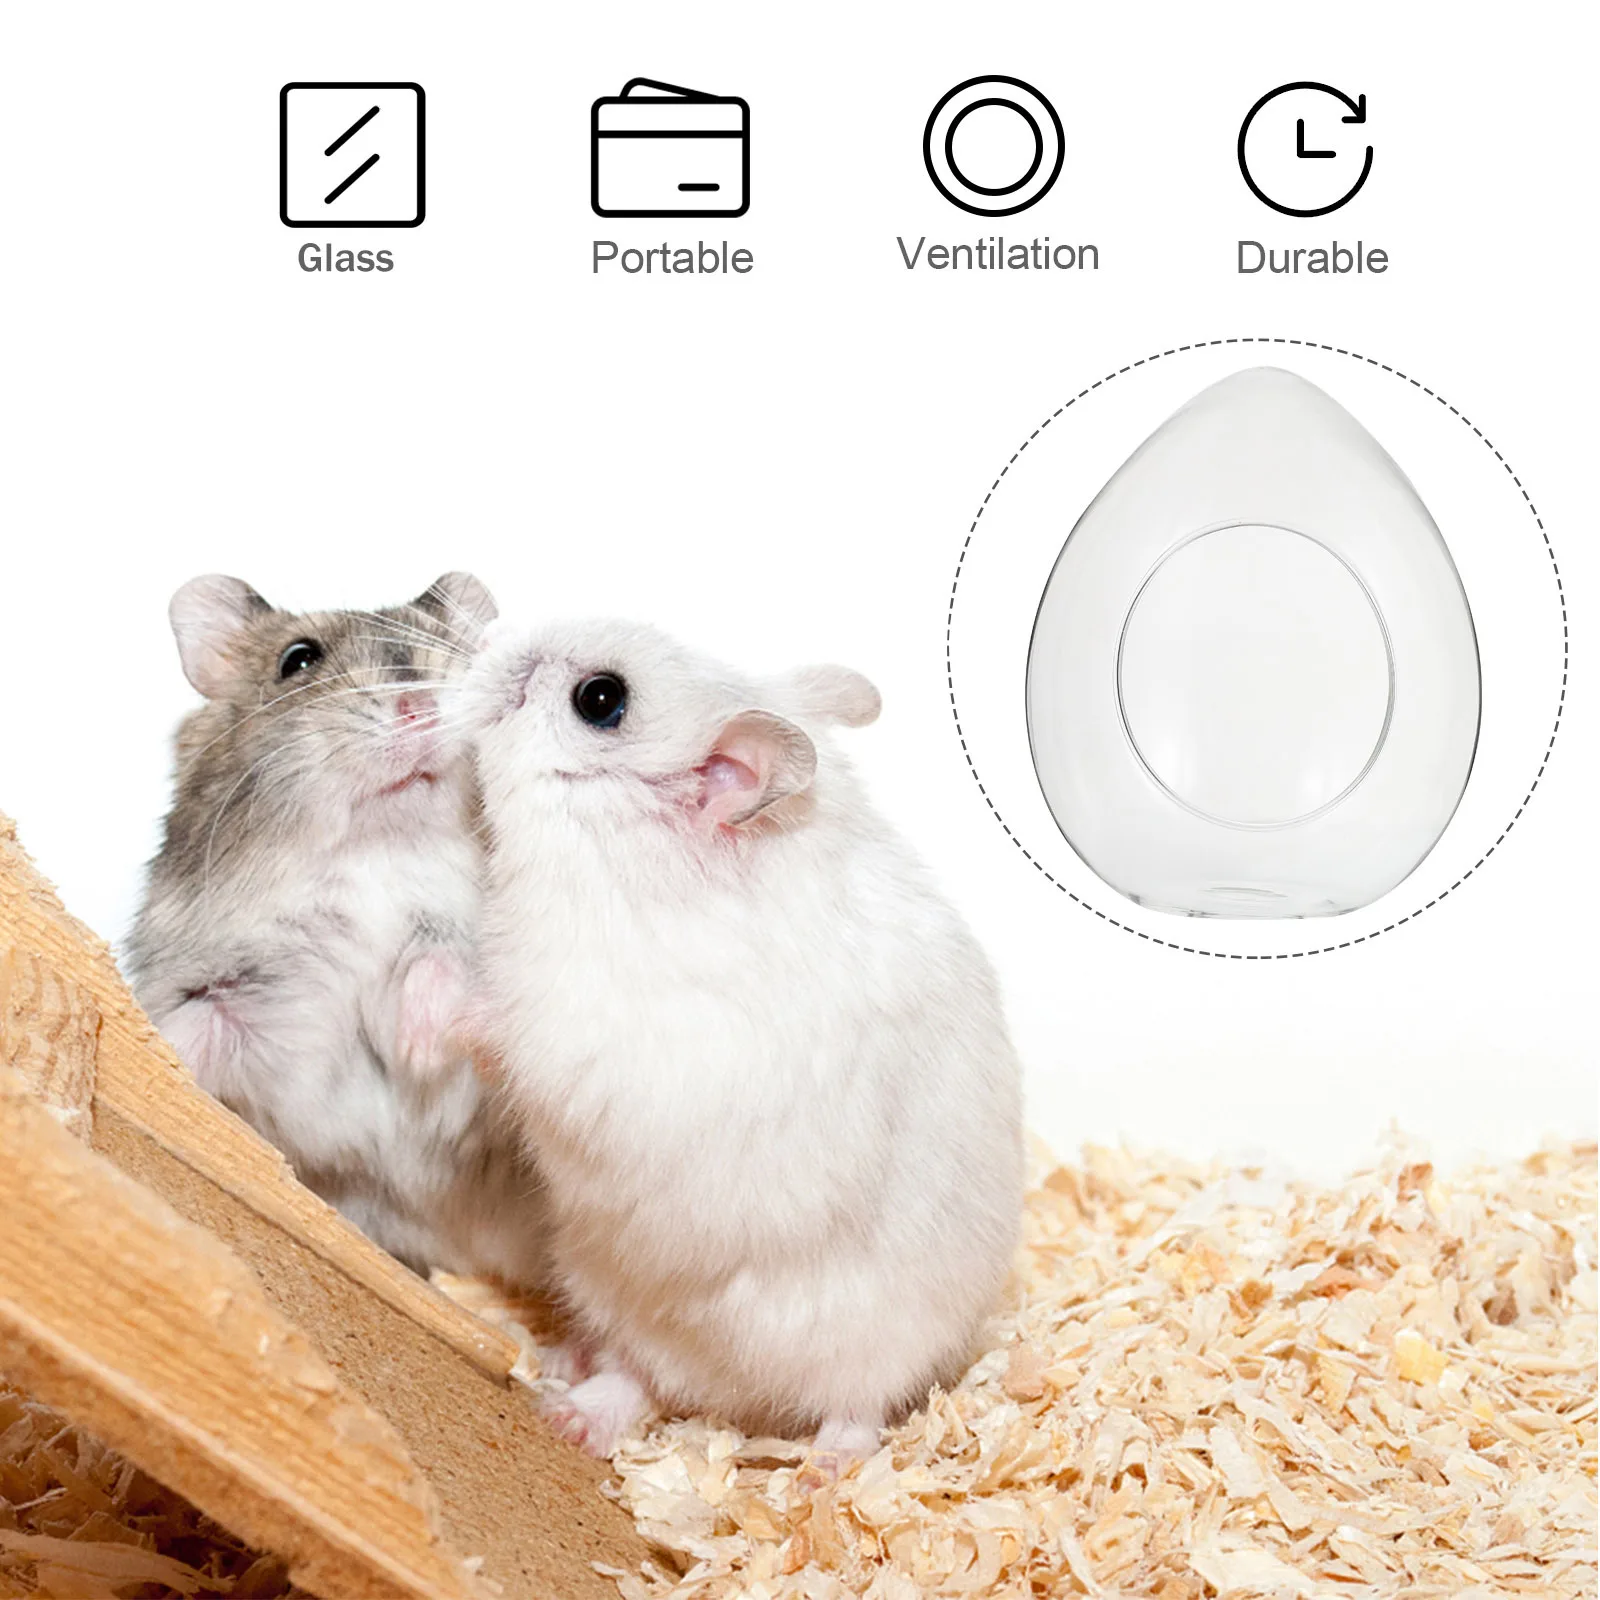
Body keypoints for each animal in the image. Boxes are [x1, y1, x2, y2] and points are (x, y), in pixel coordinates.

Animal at [126, 572, 550, 1286]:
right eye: (298, 660)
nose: (419, 706)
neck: (379, 857)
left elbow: (447, 958)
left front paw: (417, 1045)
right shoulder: (228, 986)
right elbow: (195, 1025)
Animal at [460, 619, 1023, 1459]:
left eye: (601, 700)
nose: (490, 637)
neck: (620, 857)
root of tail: (733, 1394)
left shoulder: (599, 1037)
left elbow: (507, 1029)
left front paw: (422, 999)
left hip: (874, 1336)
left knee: (855, 1405)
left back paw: (827, 1471)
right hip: (610, 1284)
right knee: (632, 1375)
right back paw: (567, 1405)